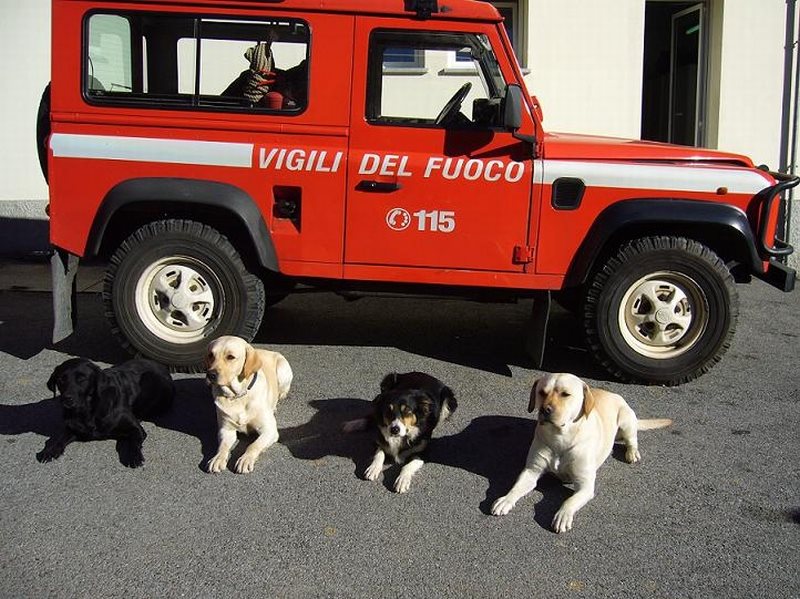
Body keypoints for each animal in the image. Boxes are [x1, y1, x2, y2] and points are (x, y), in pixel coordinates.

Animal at [37, 356, 173, 468]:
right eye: (61, 379)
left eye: (82, 379)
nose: (67, 398)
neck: (89, 410)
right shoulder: (73, 427)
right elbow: (59, 438)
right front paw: (49, 450)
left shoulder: (136, 428)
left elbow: (133, 442)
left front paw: (134, 457)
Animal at [205, 338, 292, 474]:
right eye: (211, 355)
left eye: (230, 357)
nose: (210, 374)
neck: (238, 396)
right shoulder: (226, 430)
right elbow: (223, 446)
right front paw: (218, 458)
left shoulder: (269, 431)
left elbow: (253, 445)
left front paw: (245, 459)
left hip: (283, 370)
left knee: (282, 392)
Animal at [490, 376, 672, 536]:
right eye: (541, 392)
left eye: (565, 394)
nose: (545, 410)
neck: (560, 438)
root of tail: (611, 393)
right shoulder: (531, 472)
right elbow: (516, 487)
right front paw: (505, 499)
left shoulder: (585, 486)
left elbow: (569, 501)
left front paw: (563, 515)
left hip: (626, 420)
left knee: (632, 439)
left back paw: (632, 452)